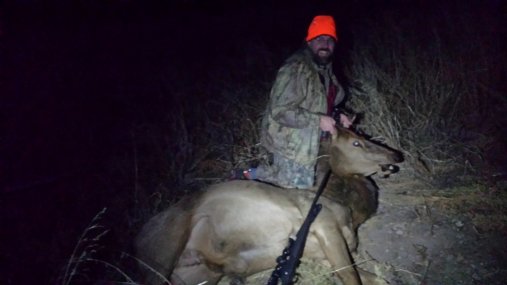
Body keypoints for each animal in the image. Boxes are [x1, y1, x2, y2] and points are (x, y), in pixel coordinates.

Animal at [136, 127, 404, 284]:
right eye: (356, 143)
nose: (396, 155)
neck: (349, 207)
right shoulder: (326, 228)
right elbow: (351, 276)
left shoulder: (324, 257)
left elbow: (377, 278)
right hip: (162, 254)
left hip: (201, 274)